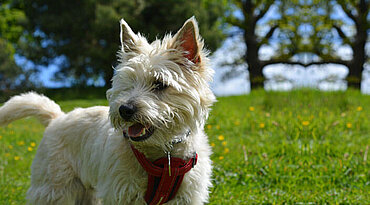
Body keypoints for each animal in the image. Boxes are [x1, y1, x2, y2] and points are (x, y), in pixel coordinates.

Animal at [0, 16, 214, 204]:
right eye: (128, 83)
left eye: (160, 84)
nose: (125, 109)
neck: (163, 156)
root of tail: (57, 118)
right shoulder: (121, 192)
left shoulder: (186, 196)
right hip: (54, 187)